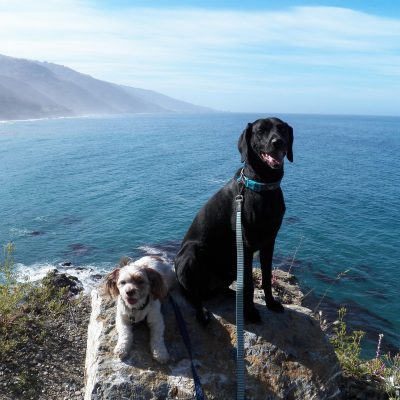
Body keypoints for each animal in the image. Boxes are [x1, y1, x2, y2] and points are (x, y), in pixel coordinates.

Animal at [175, 117, 294, 324]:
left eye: (282, 130)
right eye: (261, 131)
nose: (278, 142)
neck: (262, 186)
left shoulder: (269, 242)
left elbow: (266, 277)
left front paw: (271, 303)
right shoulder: (245, 246)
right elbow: (249, 284)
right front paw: (251, 313)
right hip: (191, 254)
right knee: (191, 294)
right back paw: (202, 312)